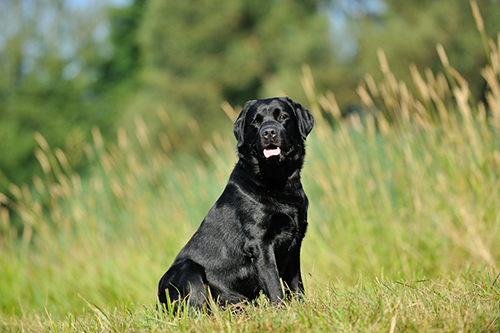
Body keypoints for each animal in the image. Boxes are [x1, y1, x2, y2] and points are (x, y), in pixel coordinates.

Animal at [157, 96, 312, 308]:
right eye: (255, 122)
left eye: (282, 117)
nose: (268, 132)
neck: (275, 182)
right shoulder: (260, 245)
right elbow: (274, 287)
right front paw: (283, 312)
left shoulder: (295, 243)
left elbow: (296, 285)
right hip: (188, 270)